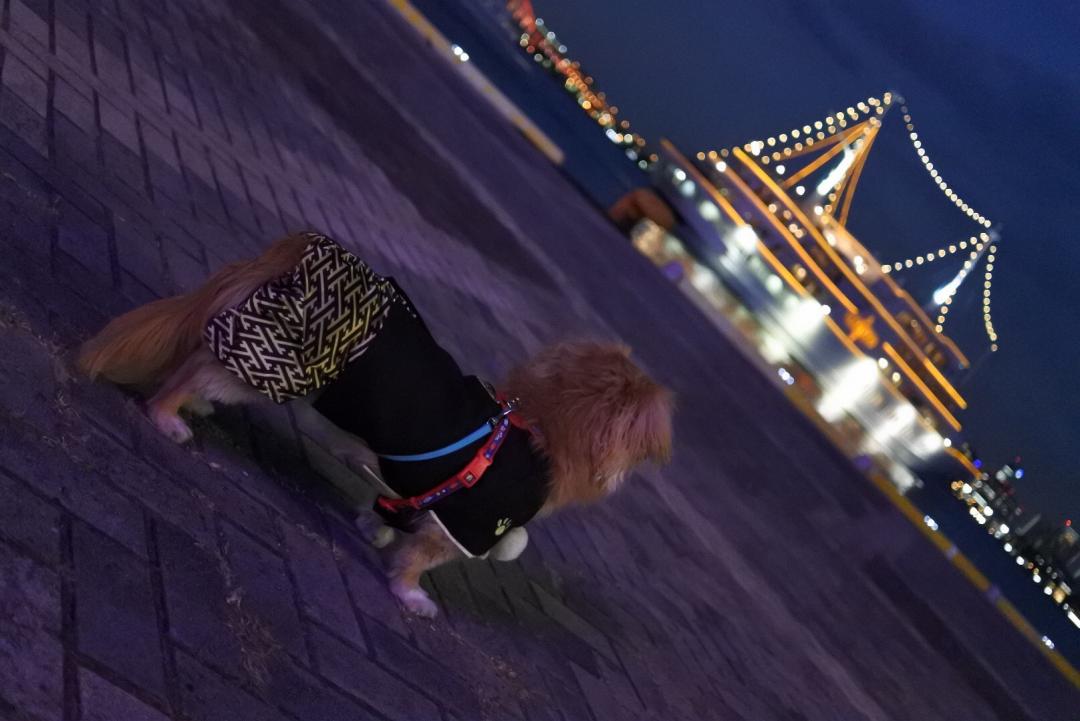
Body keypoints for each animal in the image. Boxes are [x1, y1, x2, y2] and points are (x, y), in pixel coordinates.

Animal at [78, 232, 673, 617]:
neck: (537, 428)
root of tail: (309, 245)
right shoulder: (465, 523)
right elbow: (419, 560)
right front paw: (408, 594)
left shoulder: (410, 488)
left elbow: (388, 507)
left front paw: (374, 527)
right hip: (286, 364)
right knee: (197, 370)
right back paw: (168, 414)